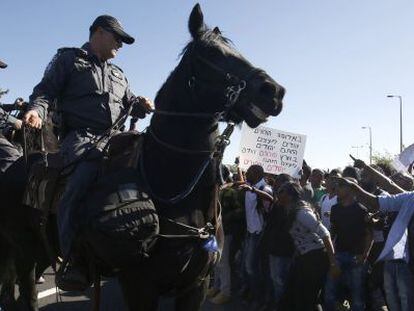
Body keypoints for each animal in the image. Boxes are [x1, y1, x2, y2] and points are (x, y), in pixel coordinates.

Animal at [0, 3, 284, 310]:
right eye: (213, 53)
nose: (274, 91)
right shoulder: (138, 286)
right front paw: (32, 114)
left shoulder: (196, 285)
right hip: (25, 251)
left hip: (40, 251)